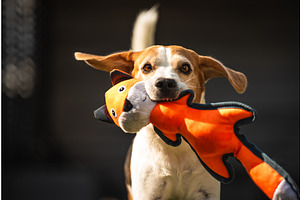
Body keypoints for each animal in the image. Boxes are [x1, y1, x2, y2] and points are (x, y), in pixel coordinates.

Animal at [76, 7, 247, 199]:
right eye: (147, 67)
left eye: (185, 68)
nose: (165, 83)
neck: (173, 146)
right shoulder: (148, 193)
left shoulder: (206, 192)